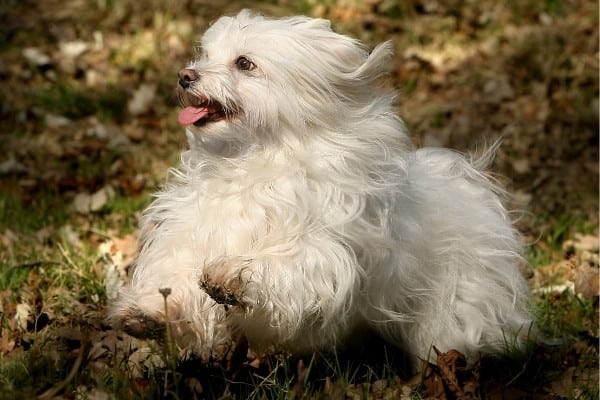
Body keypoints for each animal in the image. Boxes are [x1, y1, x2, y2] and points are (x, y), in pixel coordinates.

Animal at [109, 9, 536, 368]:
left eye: (245, 63)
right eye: (205, 56)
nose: (186, 75)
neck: (253, 158)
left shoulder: (324, 250)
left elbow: (286, 262)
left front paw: (234, 275)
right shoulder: (197, 228)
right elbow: (179, 271)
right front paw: (152, 313)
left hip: (457, 302)